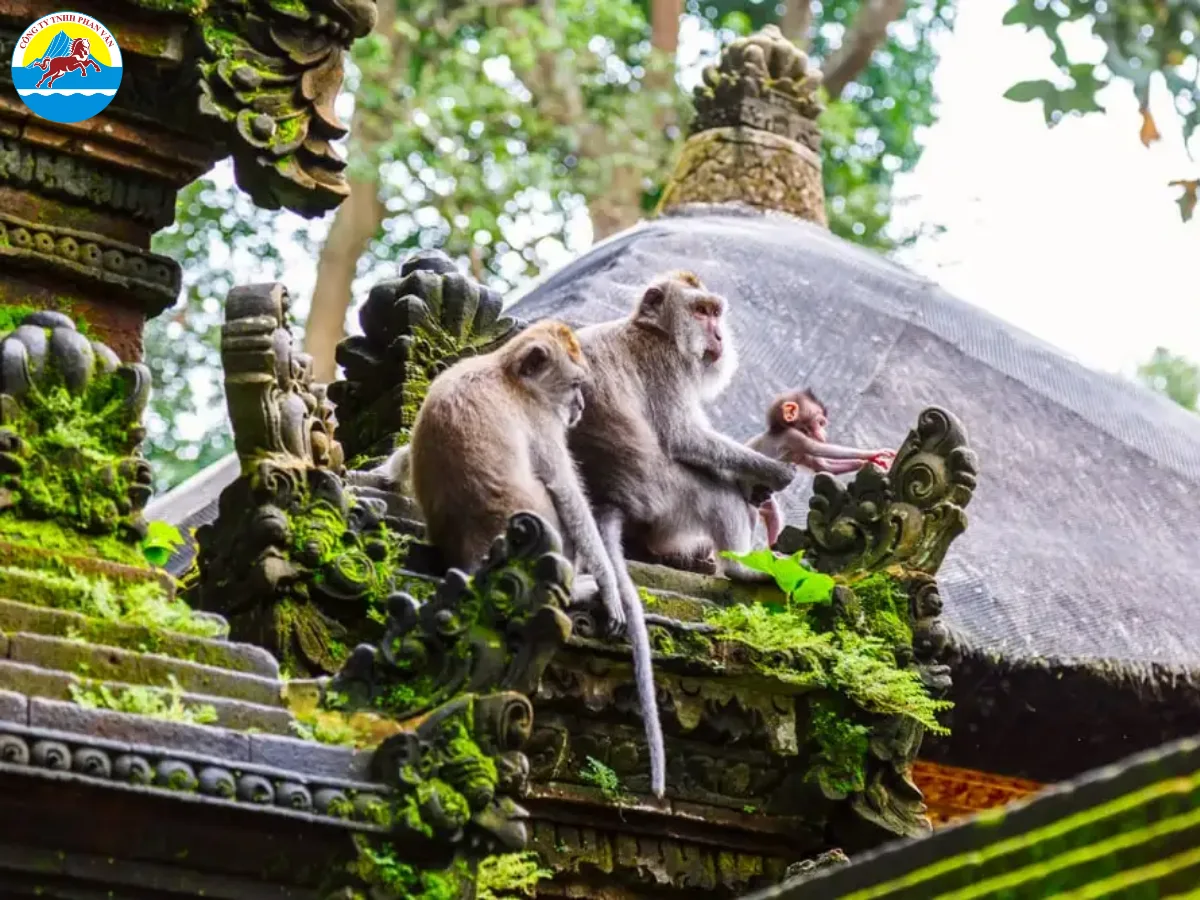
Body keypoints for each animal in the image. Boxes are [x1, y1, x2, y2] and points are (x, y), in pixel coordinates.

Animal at [406, 318, 668, 799]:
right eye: (576, 385)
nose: (580, 407)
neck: (506, 373)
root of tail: (472, 563)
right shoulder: (542, 422)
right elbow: (566, 491)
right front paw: (609, 587)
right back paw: (584, 586)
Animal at [743, 388, 897, 546]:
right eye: (820, 423)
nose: (824, 433)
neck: (781, 428)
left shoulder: (800, 450)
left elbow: (822, 466)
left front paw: (865, 461)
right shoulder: (794, 437)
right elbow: (819, 450)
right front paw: (873, 453)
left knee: (771, 512)